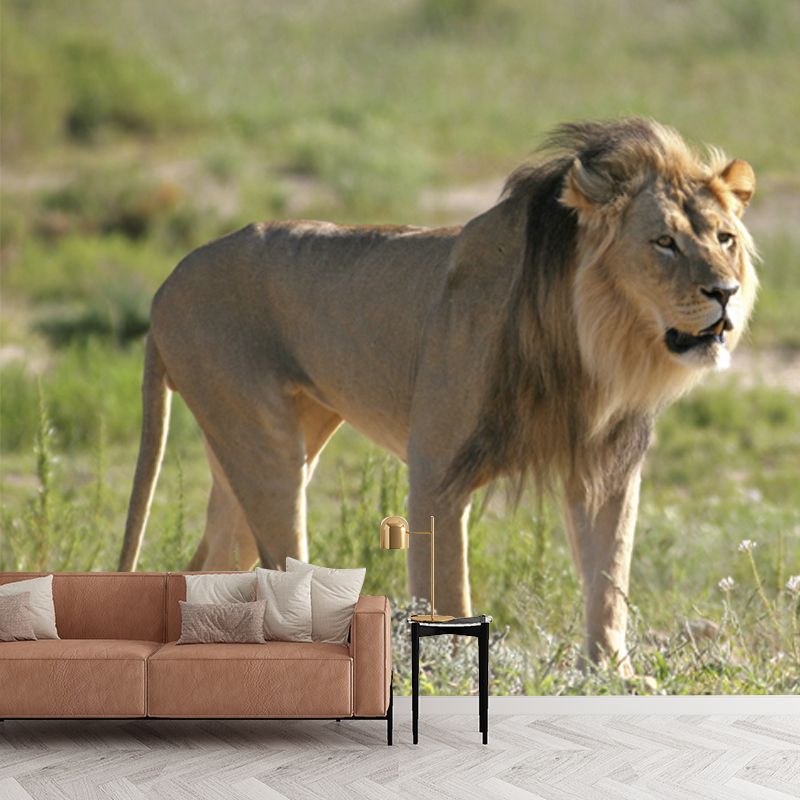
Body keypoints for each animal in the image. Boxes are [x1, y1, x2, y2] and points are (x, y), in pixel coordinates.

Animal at [119, 118, 757, 673]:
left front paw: (611, 674)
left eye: (725, 238)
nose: (725, 292)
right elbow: (448, 588)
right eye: (664, 242)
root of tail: (166, 284)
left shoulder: (607, 468)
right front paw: (451, 673)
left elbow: (608, 576)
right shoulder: (436, 469)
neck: (595, 342)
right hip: (265, 448)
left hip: (264, 445)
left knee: (210, 566)